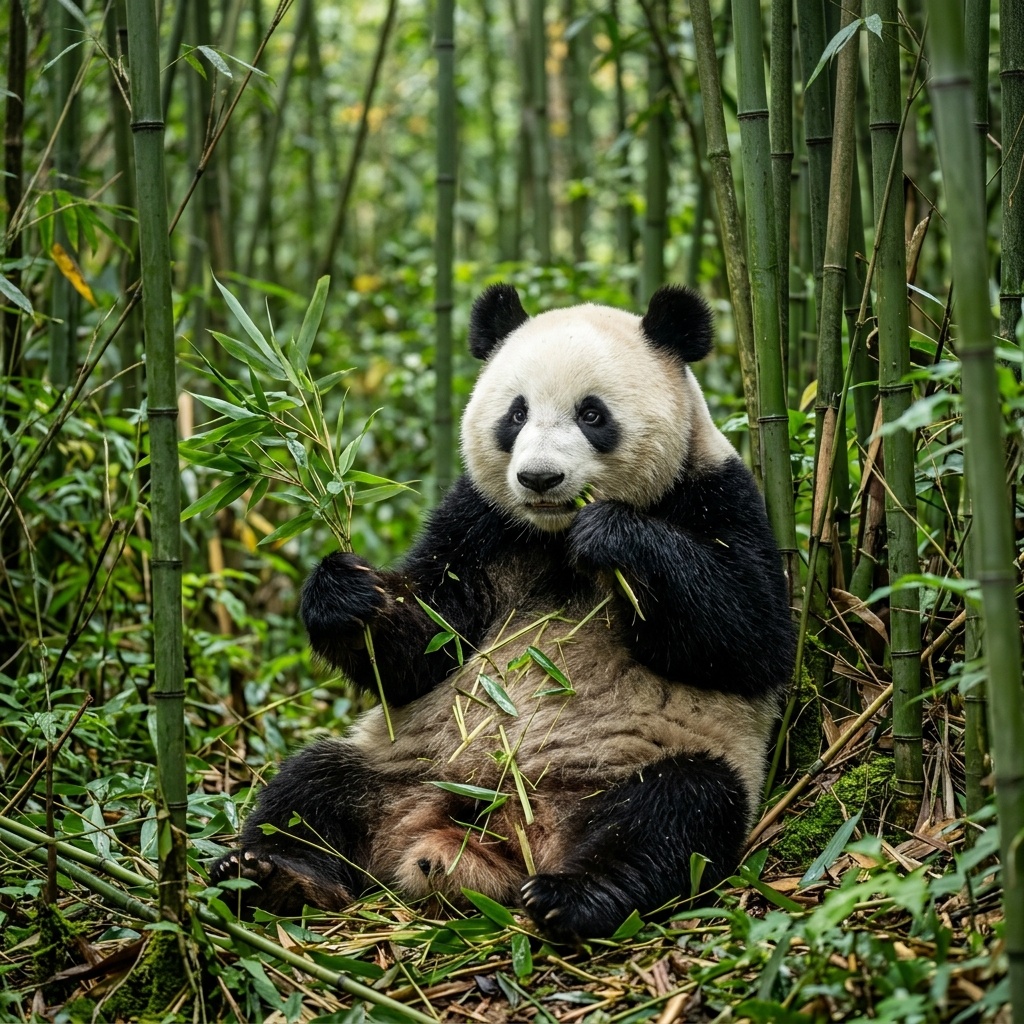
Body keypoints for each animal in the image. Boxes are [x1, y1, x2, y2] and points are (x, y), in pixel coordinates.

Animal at [211, 283, 794, 942]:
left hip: (641, 763)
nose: (539, 478)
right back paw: (272, 875)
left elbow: (749, 634)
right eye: (515, 414)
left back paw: (575, 895)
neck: (553, 538)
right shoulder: (481, 522)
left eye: (593, 415)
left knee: (674, 813)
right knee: (310, 786)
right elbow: (425, 645)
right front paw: (348, 593)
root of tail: (491, 833)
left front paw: (614, 538)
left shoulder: (720, 493)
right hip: (400, 762)